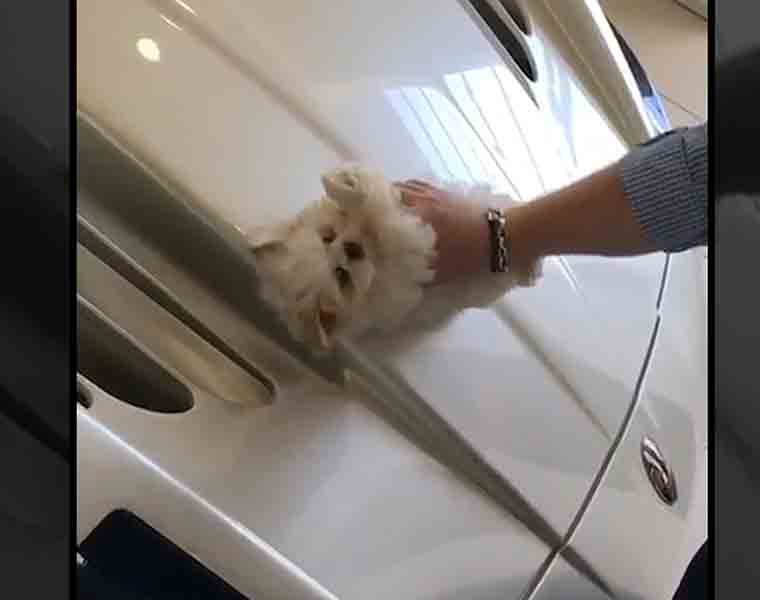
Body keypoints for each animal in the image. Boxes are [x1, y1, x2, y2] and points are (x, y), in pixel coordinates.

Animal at [248, 165, 540, 352]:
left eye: (327, 236)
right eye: (341, 276)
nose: (352, 247)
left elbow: (366, 199)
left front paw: (343, 182)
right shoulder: (397, 286)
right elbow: (402, 243)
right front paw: (412, 237)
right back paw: (529, 267)